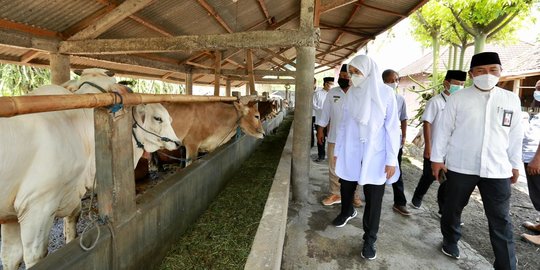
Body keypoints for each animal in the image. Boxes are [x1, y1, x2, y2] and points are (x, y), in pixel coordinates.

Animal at [0, 68, 181, 268]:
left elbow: (10, 257)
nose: (177, 142)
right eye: (158, 118)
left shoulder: (10, 215)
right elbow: (35, 256)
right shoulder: (37, 204)